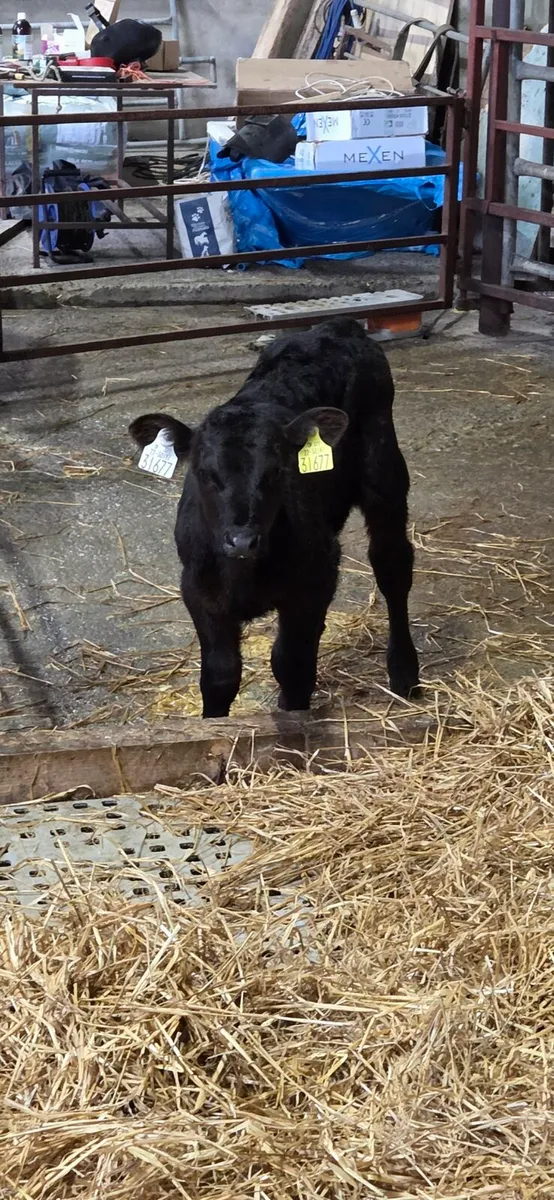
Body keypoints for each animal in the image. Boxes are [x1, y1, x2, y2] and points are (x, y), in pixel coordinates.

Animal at [129, 317, 419, 718]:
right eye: (203, 473)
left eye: (278, 471)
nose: (241, 540)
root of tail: (334, 327)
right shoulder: (198, 587)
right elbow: (220, 675)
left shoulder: (315, 575)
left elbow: (291, 665)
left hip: (384, 470)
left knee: (392, 564)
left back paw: (404, 671)